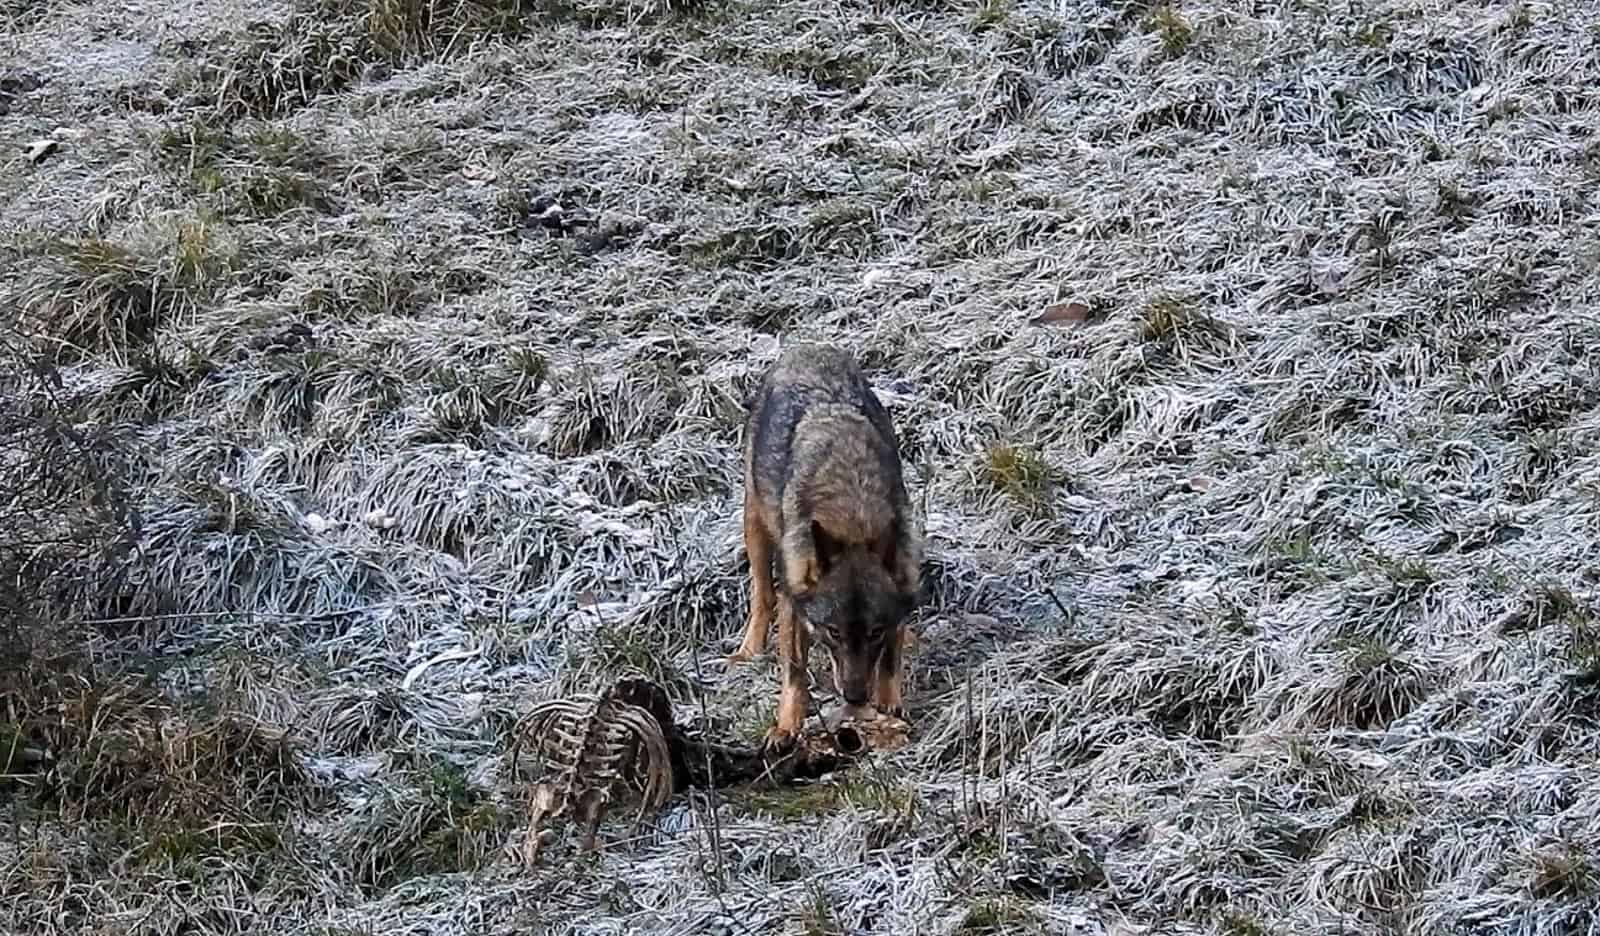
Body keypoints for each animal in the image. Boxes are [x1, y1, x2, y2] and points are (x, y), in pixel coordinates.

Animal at [727, 343, 922, 750]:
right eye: (833, 632)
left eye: (875, 632)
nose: (855, 698)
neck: (852, 508)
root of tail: (808, 347)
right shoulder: (795, 599)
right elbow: (794, 672)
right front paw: (786, 726)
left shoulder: (903, 581)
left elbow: (890, 658)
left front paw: (890, 705)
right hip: (755, 529)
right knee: (762, 594)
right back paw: (748, 650)